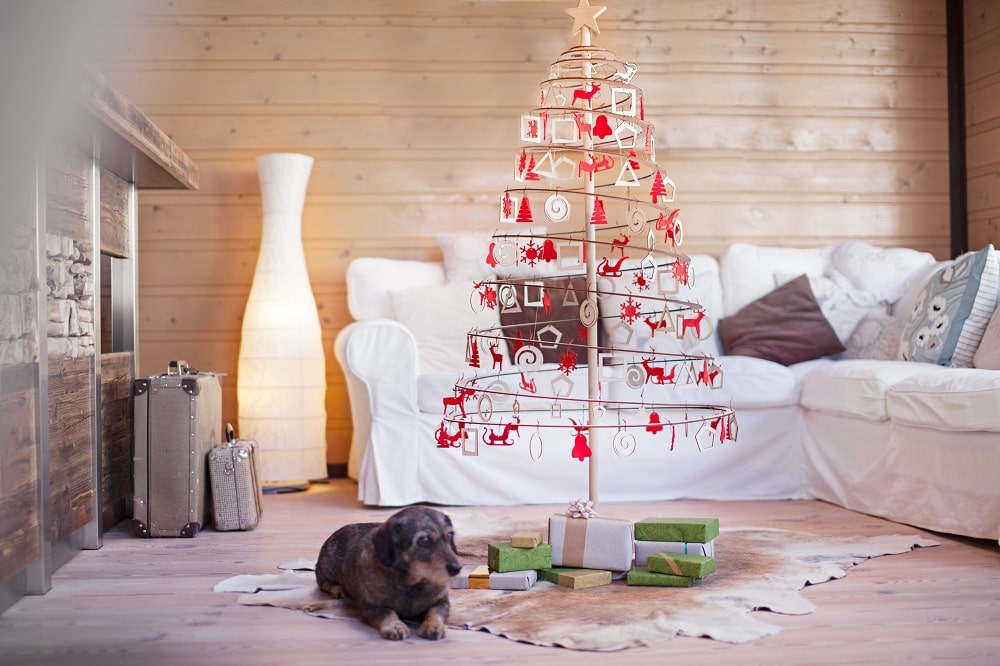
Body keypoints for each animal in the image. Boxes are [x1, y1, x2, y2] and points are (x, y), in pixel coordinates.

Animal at [314, 506, 462, 640]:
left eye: (450, 534)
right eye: (424, 540)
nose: (457, 568)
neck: (412, 585)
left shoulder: (442, 602)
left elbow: (434, 613)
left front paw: (434, 626)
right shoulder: (372, 607)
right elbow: (388, 612)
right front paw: (395, 626)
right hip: (328, 569)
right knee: (325, 583)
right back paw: (337, 589)